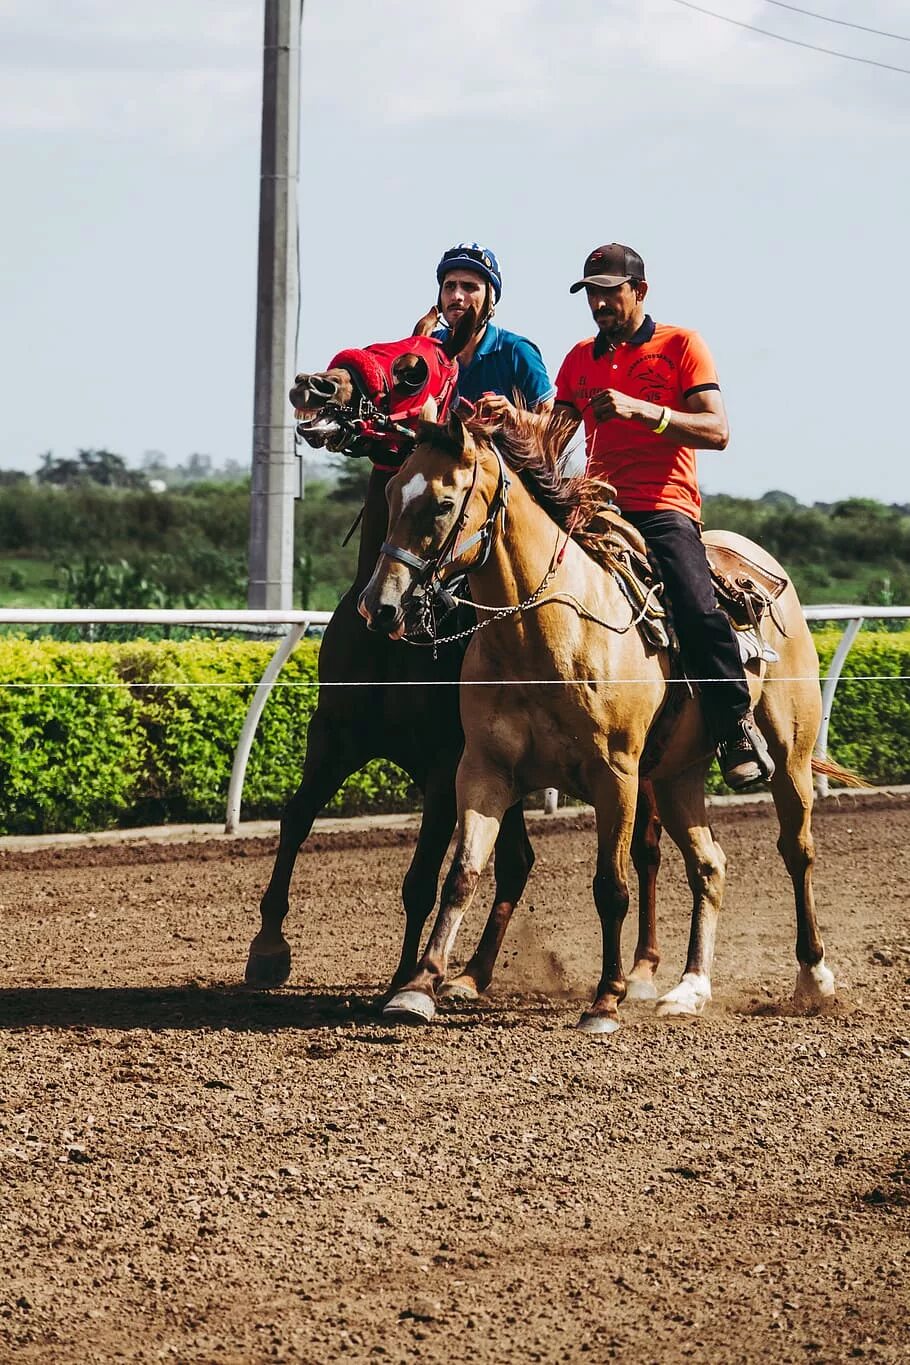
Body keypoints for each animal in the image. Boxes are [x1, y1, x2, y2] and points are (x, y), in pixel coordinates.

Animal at [245, 307, 537, 993]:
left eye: (413, 369)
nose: (312, 384)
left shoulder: (445, 764)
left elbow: (421, 878)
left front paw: (407, 975)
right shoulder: (334, 731)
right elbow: (295, 817)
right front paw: (267, 945)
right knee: (518, 859)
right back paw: (474, 972)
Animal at [360, 409, 845, 1026]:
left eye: (442, 504)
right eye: (393, 493)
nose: (380, 606)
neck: (544, 633)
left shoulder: (617, 776)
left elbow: (610, 886)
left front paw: (606, 1000)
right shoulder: (483, 771)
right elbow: (461, 875)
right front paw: (418, 987)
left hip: (790, 758)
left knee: (796, 851)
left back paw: (813, 976)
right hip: (677, 774)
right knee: (709, 865)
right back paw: (689, 988)